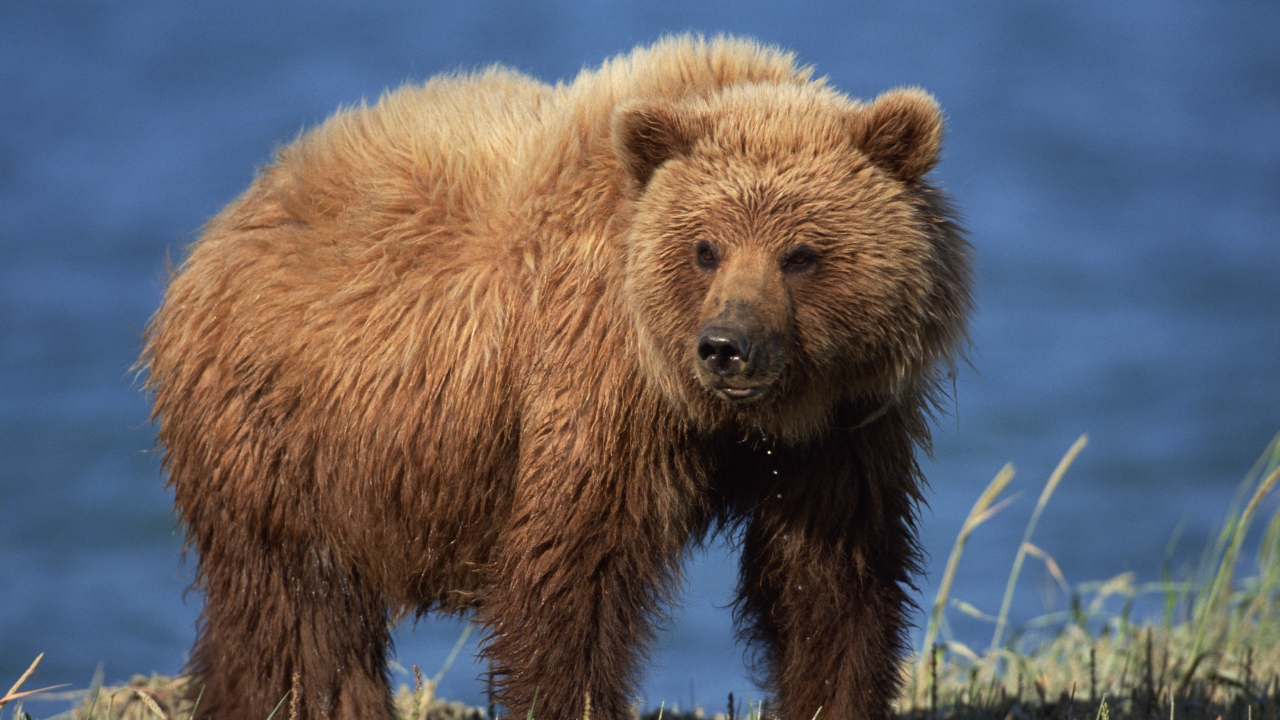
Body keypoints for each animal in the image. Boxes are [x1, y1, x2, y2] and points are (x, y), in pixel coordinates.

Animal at [142, 35, 971, 720]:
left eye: (800, 253)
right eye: (705, 248)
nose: (726, 347)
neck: (724, 417)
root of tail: (220, 227)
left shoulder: (842, 426)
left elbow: (829, 581)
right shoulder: (597, 384)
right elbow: (572, 576)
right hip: (282, 435)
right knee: (300, 614)